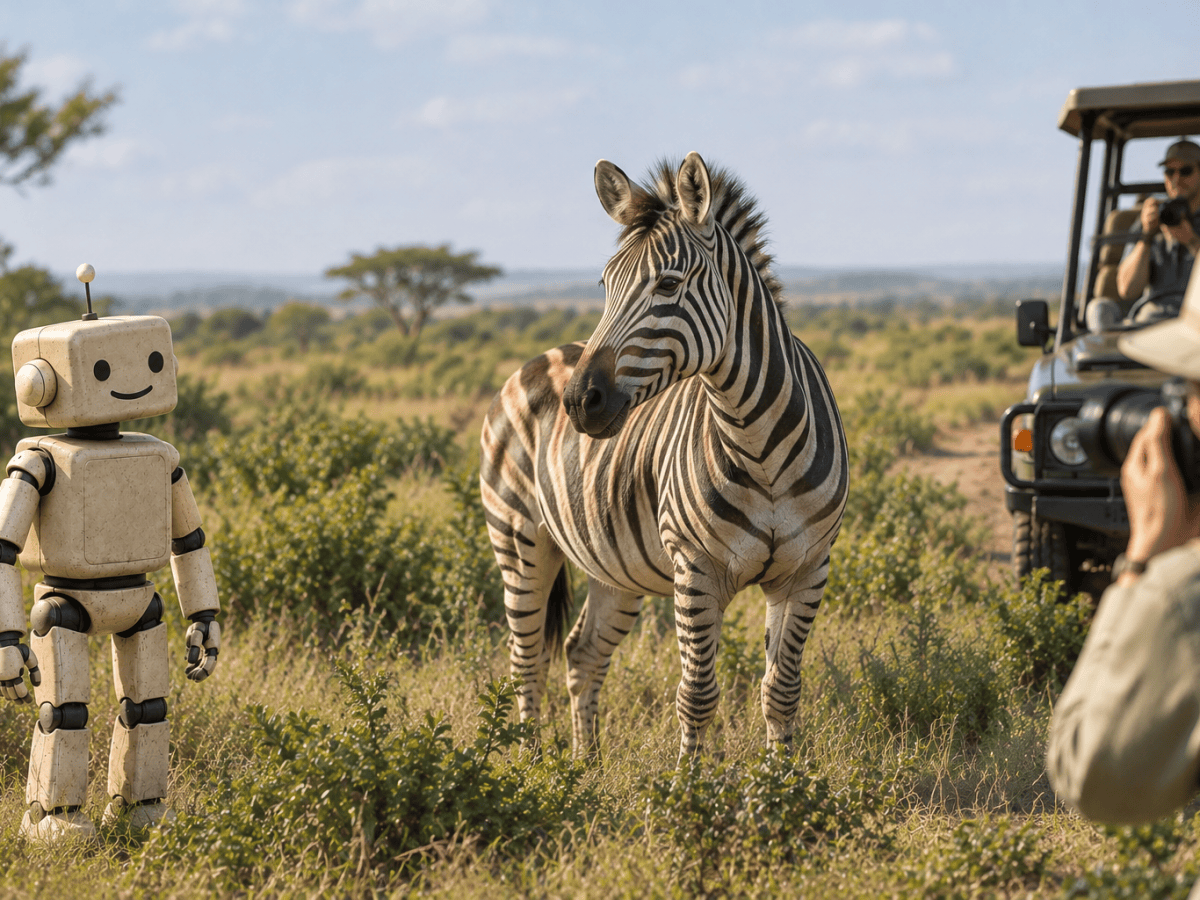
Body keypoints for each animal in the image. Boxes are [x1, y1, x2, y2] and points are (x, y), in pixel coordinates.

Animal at [480, 152, 848, 759]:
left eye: (669, 284)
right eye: (605, 284)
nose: (579, 402)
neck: (759, 445)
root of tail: (535, 359)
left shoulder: (808, 568)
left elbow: (781, 691)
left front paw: (786, 780)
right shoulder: (695, 569)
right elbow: (696, 695)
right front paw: (688, 785)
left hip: (613, 563)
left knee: (581, 652)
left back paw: (583, 766)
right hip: (518, 538)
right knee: (525, 660)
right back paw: (532, 769)